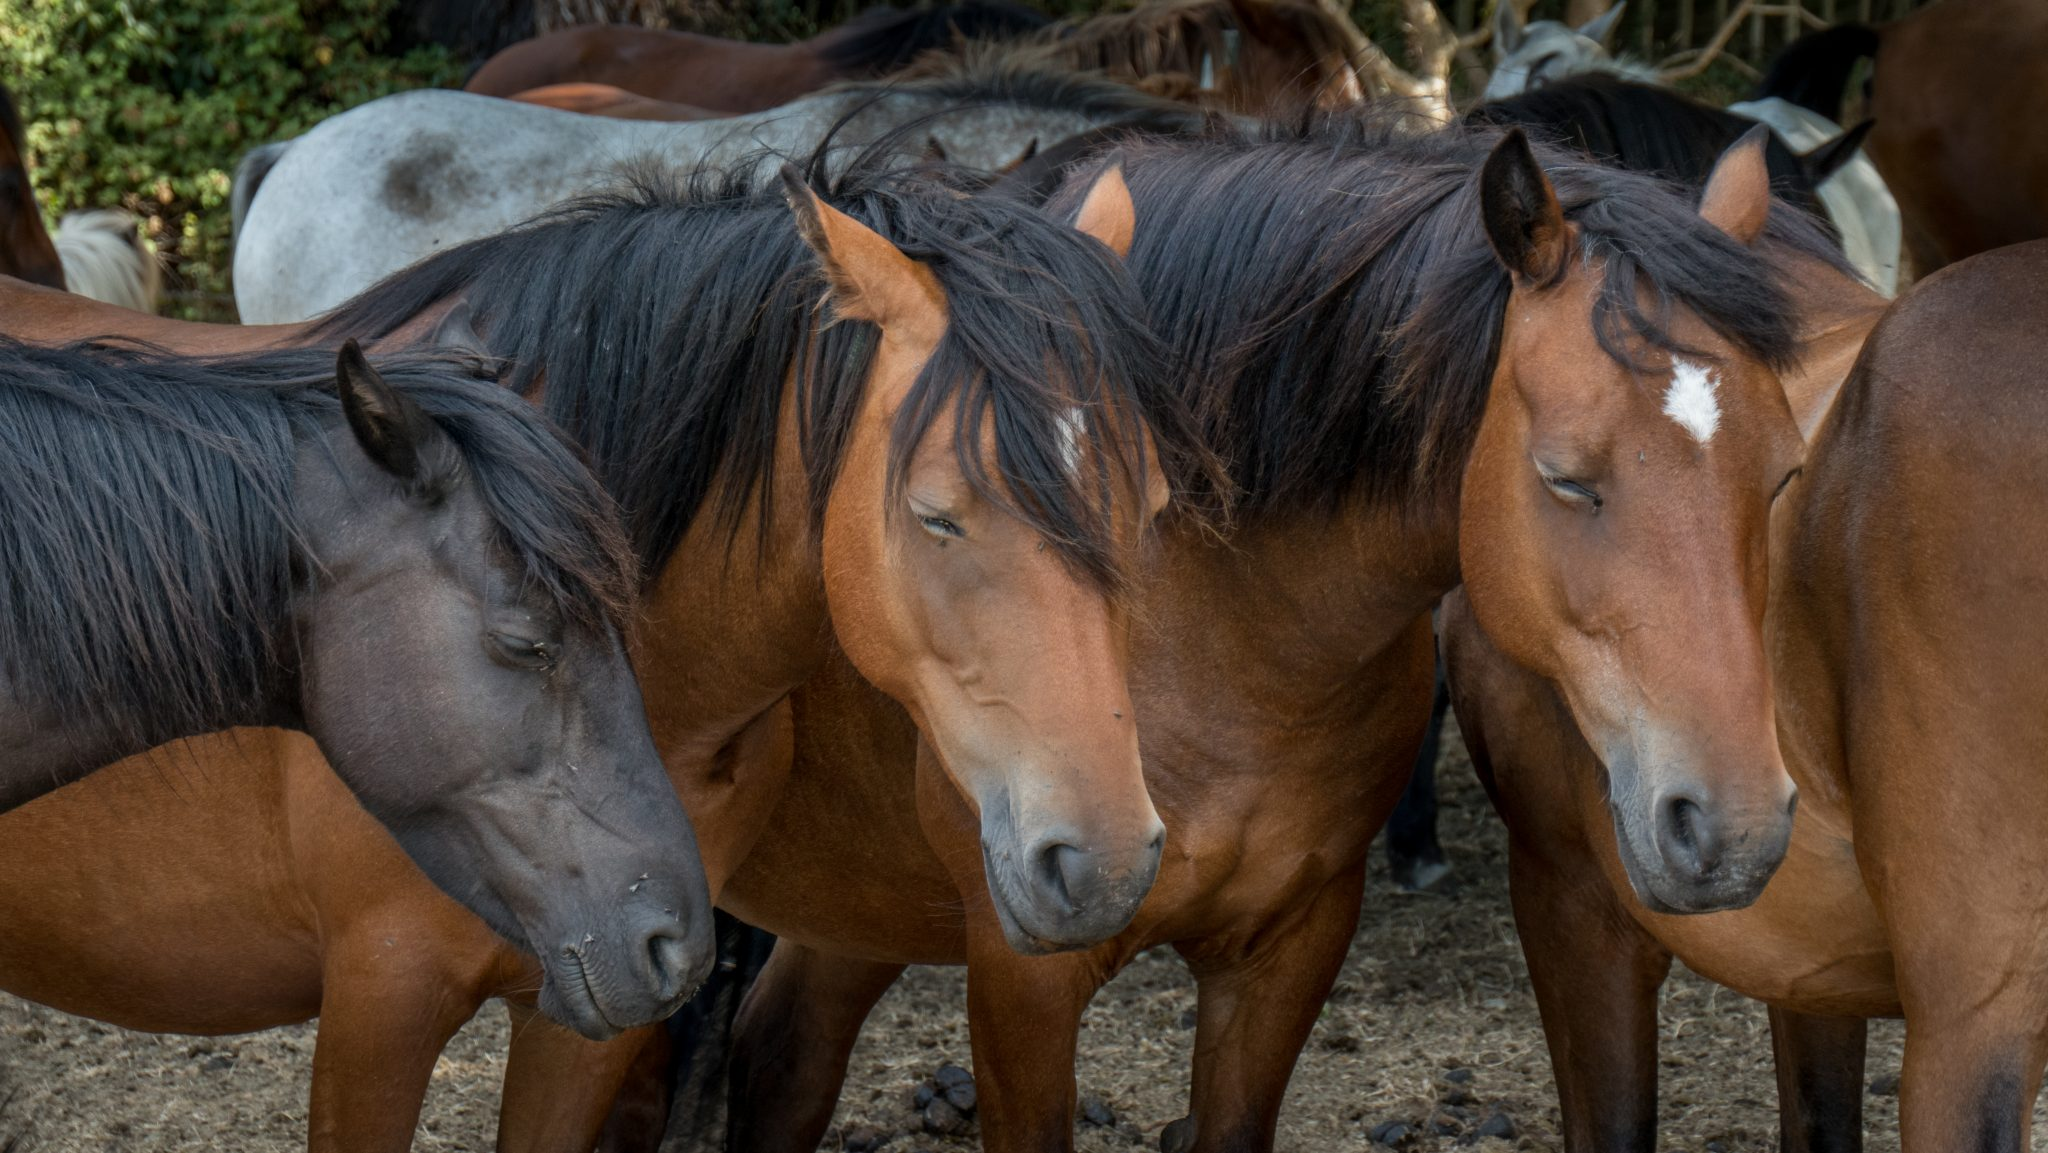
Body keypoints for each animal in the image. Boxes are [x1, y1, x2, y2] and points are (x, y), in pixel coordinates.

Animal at [1449, 239, 2048, 1146]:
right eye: (1566, 481)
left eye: (1781, 480)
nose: (1723, 824)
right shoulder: (1811, 969)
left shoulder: (1569, 899)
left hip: (1975, 1022)